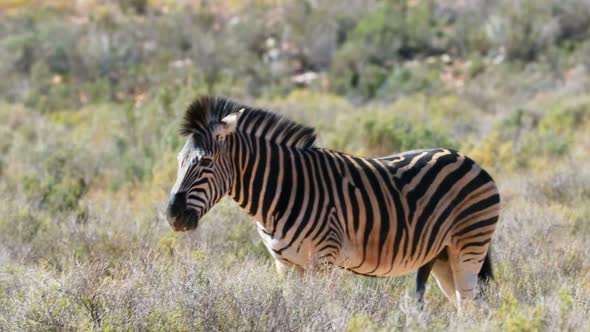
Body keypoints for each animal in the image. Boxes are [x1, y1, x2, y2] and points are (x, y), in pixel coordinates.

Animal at [165, 95, 500, 306]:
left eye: (206, 163)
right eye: (179, 161)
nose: (172, 215)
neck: (281, 192)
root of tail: (469, 160)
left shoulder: (323, 261)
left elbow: (319, 311)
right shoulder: (285, 266)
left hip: (468, 249)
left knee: (471, 306)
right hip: (444, 256)